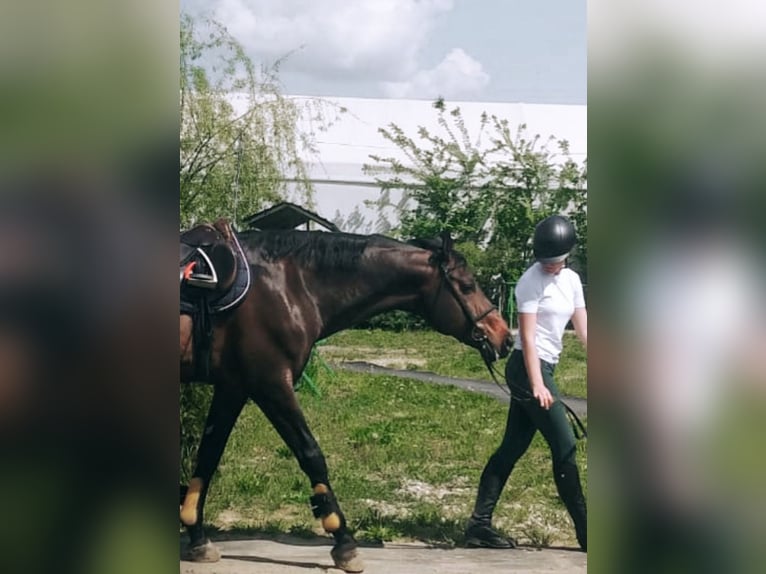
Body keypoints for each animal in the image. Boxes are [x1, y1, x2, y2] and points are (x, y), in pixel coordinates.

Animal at [179, 222, 513, 572]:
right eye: (467, 285)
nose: (504, 337)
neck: (289, 286)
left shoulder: (234, 387)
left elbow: (207, 456)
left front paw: (198, 537)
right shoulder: (271, 384)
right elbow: (311, 455)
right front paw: (344, 542)